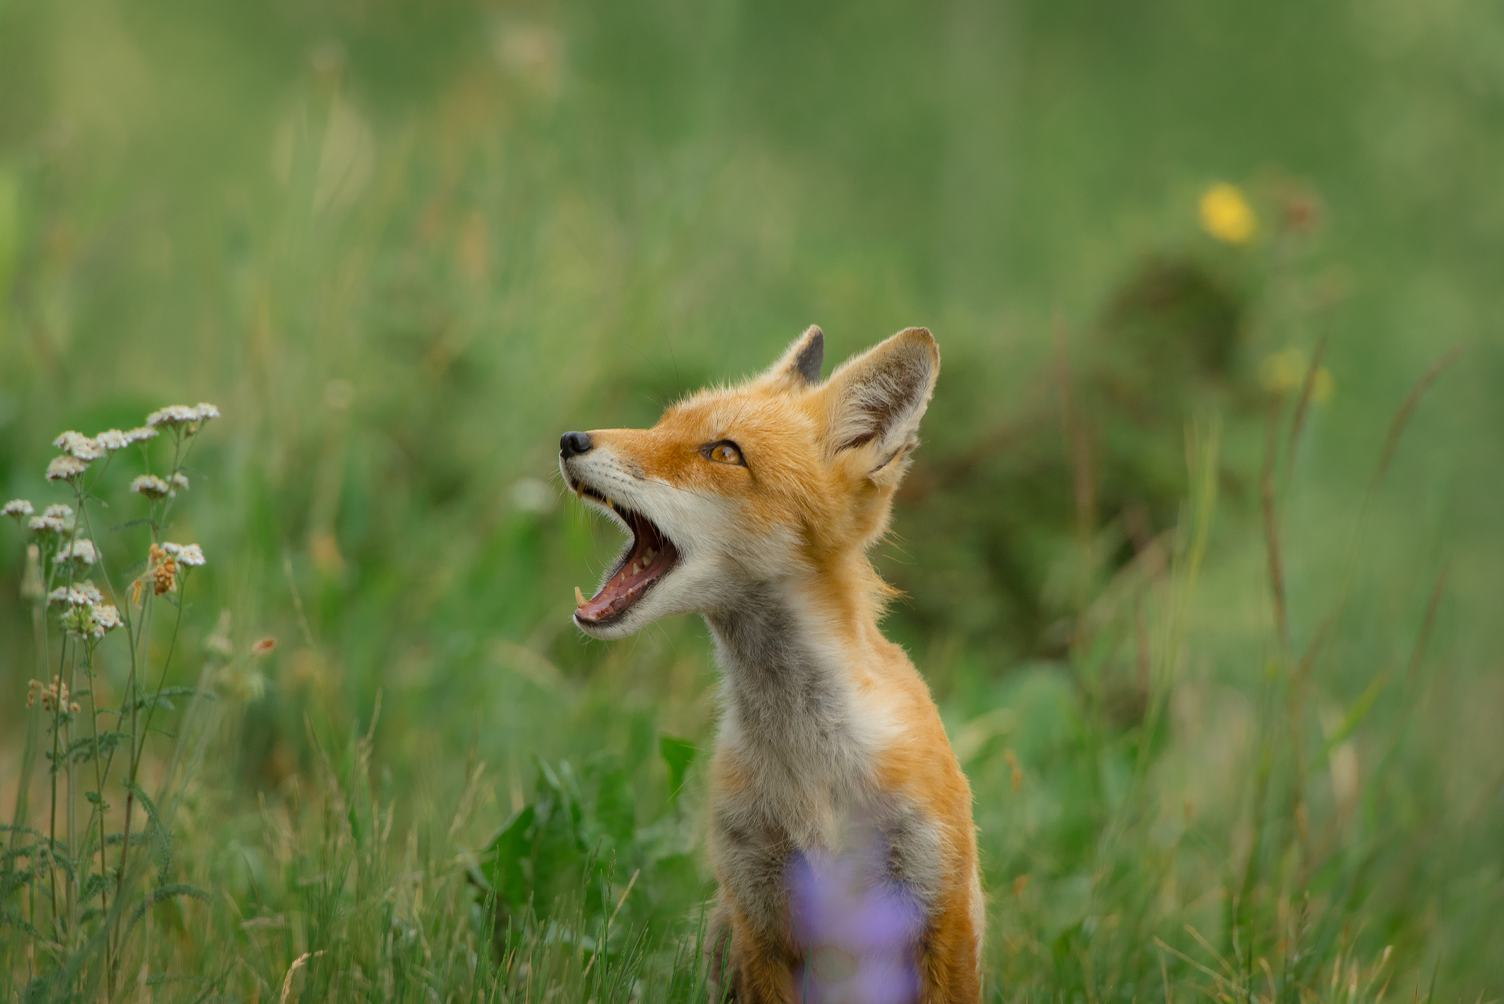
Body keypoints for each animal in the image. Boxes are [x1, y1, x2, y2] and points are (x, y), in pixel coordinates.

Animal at [559, 325, 982, 1003]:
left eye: (724, 453)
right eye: (662, 425)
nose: (571, 440)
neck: (811, 765)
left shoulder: (941, 907)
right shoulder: (759, 918)